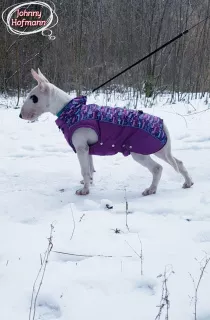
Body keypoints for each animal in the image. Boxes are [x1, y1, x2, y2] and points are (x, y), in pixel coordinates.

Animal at [19, 69, 194, 196]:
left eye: (33, 98)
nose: (20, 116)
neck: (71, 110)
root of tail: (162, 123)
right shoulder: (88, 149)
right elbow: (90, 169)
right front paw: (88, 183)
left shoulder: (81, 148)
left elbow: (84, 170)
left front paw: (84, 191)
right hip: (160, 149)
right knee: (178, 162)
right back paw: (188, 182)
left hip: (139, 152)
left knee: (158, 168)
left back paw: (151, 190)